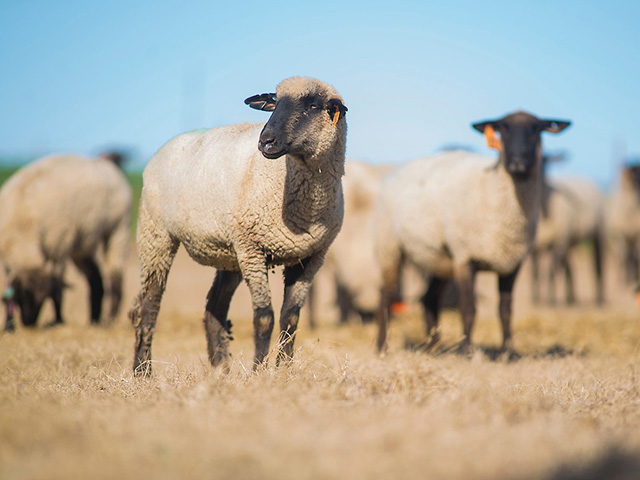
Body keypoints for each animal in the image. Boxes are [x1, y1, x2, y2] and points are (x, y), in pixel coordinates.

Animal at [0, 154, 132, 331]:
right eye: (22, 295)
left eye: (43, 298)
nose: (29, 323)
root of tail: (107, 164)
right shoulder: (8, 261)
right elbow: (8, 287)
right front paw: (8, 326)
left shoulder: (60, 248)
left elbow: (58, 287)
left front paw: (57, 321)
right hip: (81, 244)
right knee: (95, 277)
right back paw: (94, 320)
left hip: (118, 230)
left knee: (115, 276)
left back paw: (109, 319)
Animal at [129, 76, 348, 376]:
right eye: (274, 103)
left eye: (313, 105)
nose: (266, 142)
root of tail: (169, 145)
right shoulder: (252, 250)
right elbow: (264, 317)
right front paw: (258, 372)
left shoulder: (311, 256)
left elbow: (291, 318)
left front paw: (283, 371)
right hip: (156, 235)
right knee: (149, 304)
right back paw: (142, 371)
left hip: (228, 253)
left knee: (214, 308)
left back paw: (221, 369)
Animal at [374, 110, 571, 355]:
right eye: (502, 128)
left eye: (537, 129)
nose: (517, 163)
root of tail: (401, 166)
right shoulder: (465, 258)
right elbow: (468, 308)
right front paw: (467, 351)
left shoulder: (512, 263)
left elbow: (506, 309)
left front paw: (508, 353)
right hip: (389, 245)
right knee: (386, 295)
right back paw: (382, 346)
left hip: (439, 260)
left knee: (429, 299)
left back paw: (433, 347)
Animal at [531, 174, 606, 305]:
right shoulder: (535, 247)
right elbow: (535, 271)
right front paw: (537, 299)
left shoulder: (559, 242)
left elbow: (551, 270)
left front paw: (551, 300)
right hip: (570, 241)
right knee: (570, 267)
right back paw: (571, 298)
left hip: (598, 233)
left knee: (598, 264)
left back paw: (599, 299)